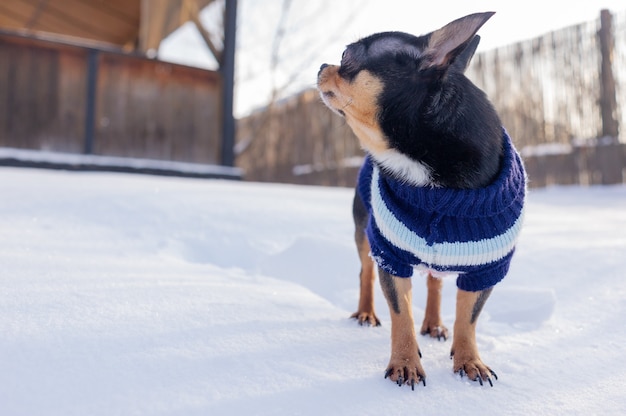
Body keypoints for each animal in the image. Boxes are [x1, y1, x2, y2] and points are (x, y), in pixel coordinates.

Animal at [314, 13, 524, 390]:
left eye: (347, 55)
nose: (323, 66)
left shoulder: (487, 268)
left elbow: (469, 317)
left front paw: (469, 360)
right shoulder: (391, 255)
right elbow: (401, 314)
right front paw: (405, 363)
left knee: (435, 282)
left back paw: (434, 324)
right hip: (363, 231)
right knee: (366, 272)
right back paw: (366, 312)